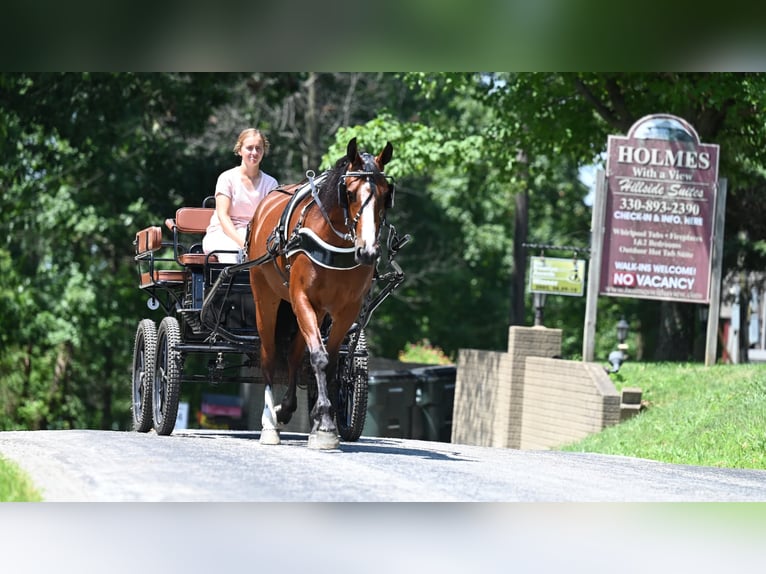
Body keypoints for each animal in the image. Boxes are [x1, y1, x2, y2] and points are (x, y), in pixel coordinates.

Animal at [249, 138, 396, 450]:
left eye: (385, 194)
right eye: (349, 193)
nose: (368, 251)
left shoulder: (346, 309)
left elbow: (329, 363)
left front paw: (322, 421)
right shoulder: (302, 297)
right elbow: (318, 357)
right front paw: (326, 422)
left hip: (314, 312)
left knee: (294, 355)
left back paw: (286, 409)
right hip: (265, 298)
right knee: (269, 355)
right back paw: (269, 423)